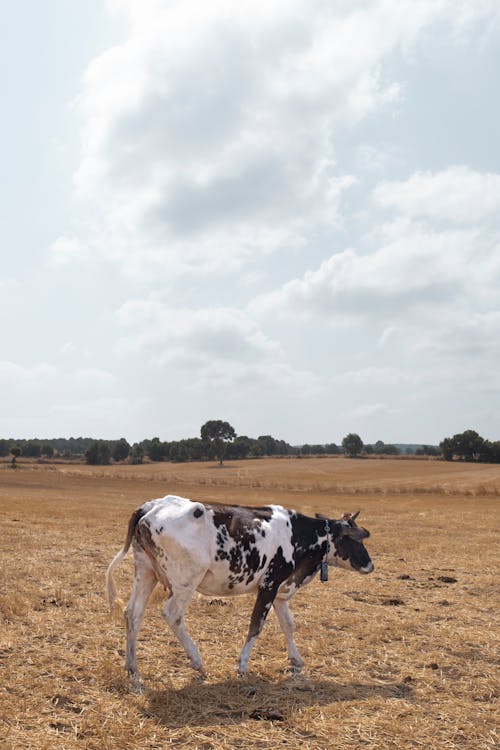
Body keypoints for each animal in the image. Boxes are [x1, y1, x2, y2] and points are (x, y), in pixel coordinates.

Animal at [107, 496, 374, 692]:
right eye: (355, 540)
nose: (370, 565)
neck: (298, 535)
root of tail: (151, 507)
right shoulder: (269, 585)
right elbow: (256, 625)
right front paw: (243, 665)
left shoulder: (280, 591)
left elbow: (288, 625)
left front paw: (296, 661)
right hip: (185, 582)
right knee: (172, 614)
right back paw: (197, 662)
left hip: (145, 572)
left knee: (133, 613)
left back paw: (133, 669)